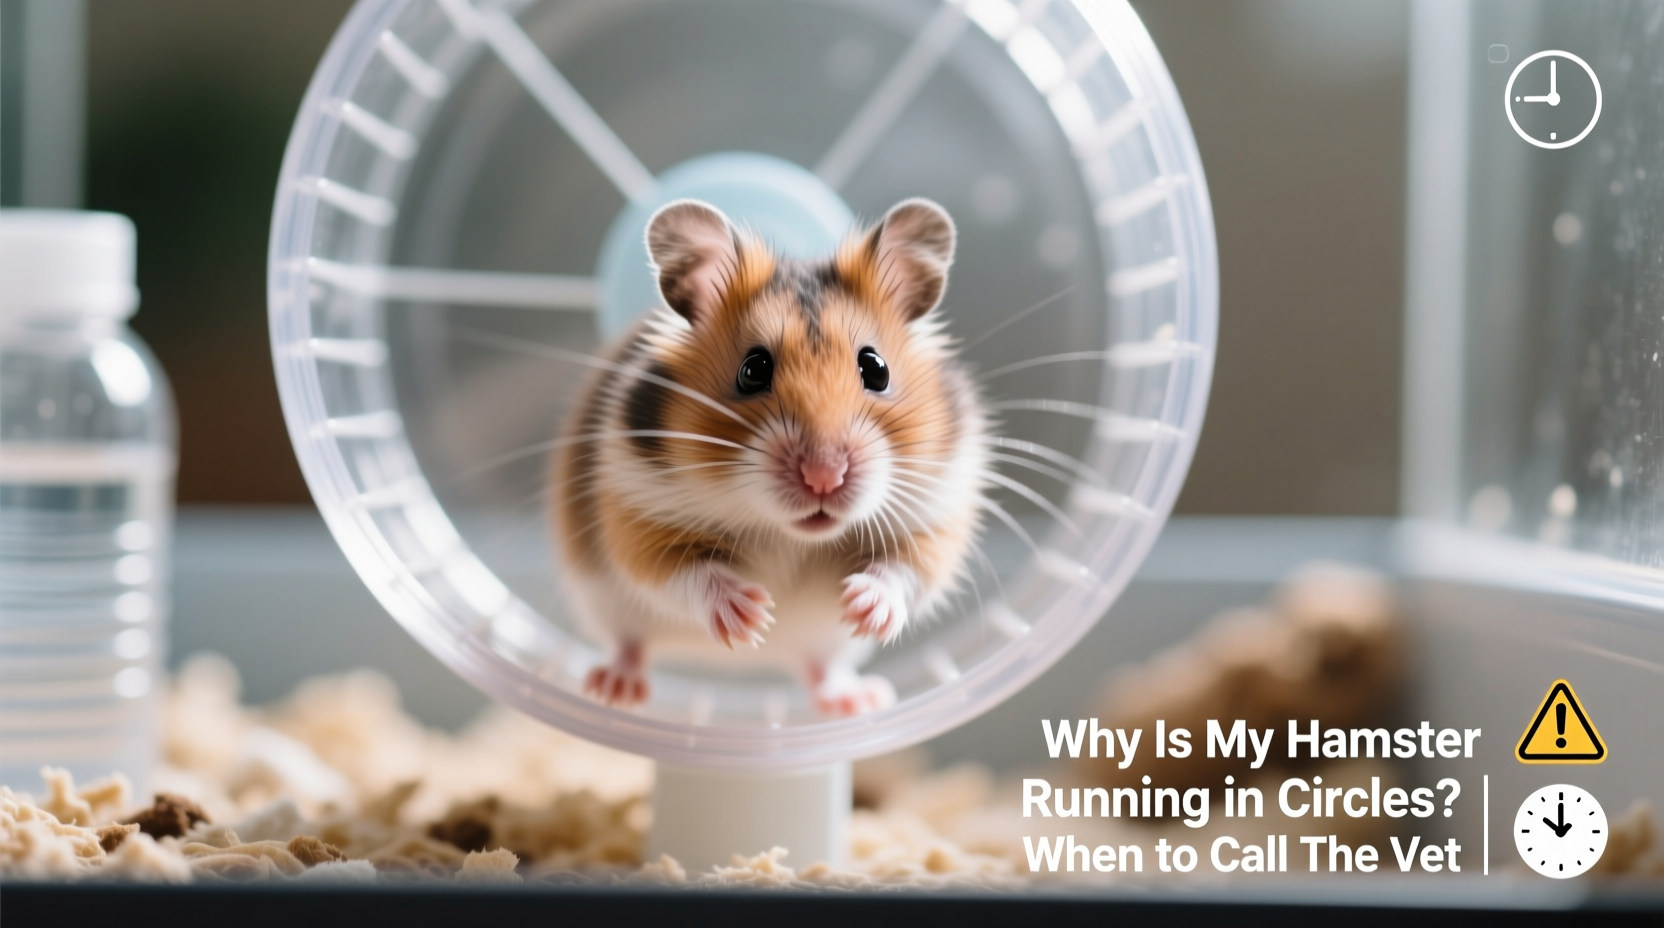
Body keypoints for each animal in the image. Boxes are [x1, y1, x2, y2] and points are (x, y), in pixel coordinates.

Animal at [552, 197, 988, 717]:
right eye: (752, 370)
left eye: (876, 369)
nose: (823, 477)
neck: (789, 532)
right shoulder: (636, 511)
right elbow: (679, 570)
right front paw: (750, 616)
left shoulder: (936, 514)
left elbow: (908, 569)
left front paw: (863, 607)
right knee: (630, 643)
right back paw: (614, 688)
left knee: (817, 667)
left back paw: (858, 700)